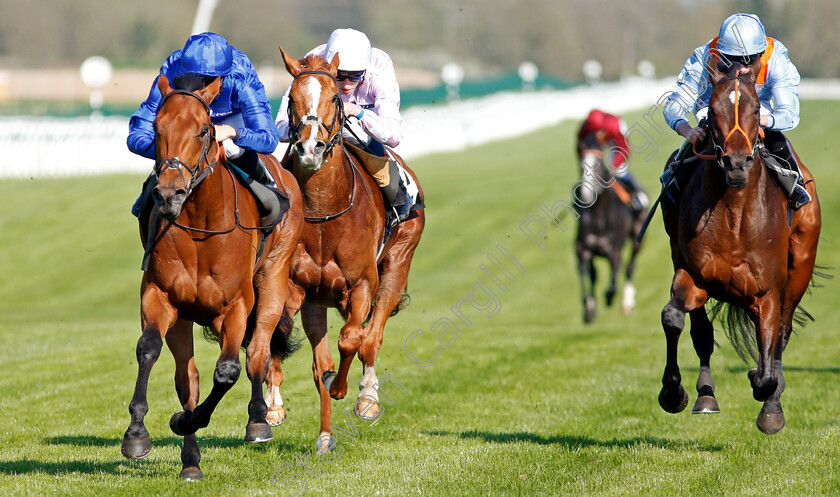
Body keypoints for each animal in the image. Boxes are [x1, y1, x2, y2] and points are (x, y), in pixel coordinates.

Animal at [118, 72, 302, 476]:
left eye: (204, 129)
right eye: (157, 127)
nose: (170, 194)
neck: (202, 226)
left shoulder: (235, 306)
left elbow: (228, 370)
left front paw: (185, 421)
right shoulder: (161, 296)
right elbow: (150, 351)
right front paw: (138, 433)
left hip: (272, 279)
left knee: (258, 352)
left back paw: (259, 420)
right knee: (188, 378)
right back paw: (190, 462)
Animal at [270, 48, 426, 452]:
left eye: (334, 100)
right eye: (292, 100)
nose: (310, 148)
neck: (324, 214)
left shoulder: (363, 284)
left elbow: (353, 338)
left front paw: (345, 390)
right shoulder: (297, 288)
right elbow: (287, 338)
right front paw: (277, 409)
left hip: (398, 263)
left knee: (372, 337)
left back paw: (367, 398)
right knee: (318, 358)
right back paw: (322, 433)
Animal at [576, 144, 648, 322]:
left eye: (599, 165)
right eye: (581, 164)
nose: (585, 194)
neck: (598, 217)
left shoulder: (614, 251)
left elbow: (613, 283)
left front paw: (608, 297)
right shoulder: (583, 249)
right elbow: (585, 275)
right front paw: (589, 307)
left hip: (638, 239)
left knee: (630, 267)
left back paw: (627, 302)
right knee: (594, 274)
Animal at [656, 63, 820, 434]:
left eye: (757, 109)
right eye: (711, 109)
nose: (736, 163)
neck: (733, 214)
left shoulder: (767, 292)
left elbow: (769, 354)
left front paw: (767, 397)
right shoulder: (693, 274)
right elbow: (674, 318)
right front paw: (673, 393)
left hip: (800, 266)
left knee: (782, 334)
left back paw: (771, 399)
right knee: (701, 332)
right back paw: (705, 395)